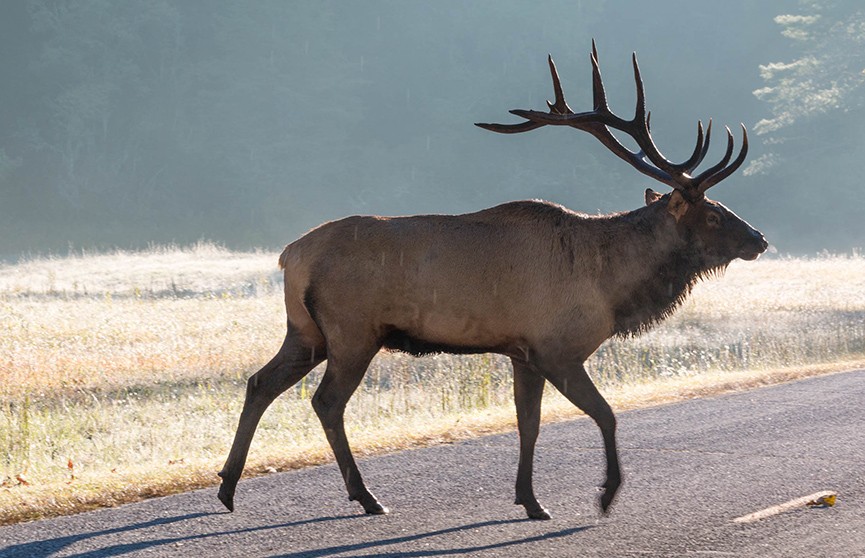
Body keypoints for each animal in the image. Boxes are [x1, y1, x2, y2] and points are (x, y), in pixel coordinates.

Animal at [214, 42, 764, 520]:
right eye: (713, 214)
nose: (758, 238)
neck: (612, 288)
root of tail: (289, 256)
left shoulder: (524, 352)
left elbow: (529, 425)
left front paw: (531, 501)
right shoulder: (557, 347)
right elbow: (604, 414)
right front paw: (605, 495)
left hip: (306, 331)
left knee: (259, 382)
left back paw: (227, 486)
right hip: (353, 331)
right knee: (325, 401)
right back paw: (366, 497)